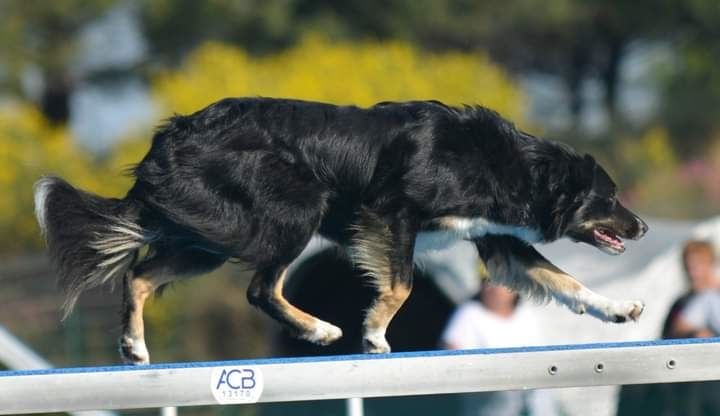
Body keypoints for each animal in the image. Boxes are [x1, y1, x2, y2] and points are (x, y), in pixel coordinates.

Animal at [35, 98, 648, 364]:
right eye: (609, 198)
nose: (641, 225)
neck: (508, 163)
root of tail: (170, 137)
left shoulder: (496, 239)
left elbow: (566, 281)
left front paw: (619, 309)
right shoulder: (389, 212)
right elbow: (400, 285)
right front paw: (373, 334)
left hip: (213, 236)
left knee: (139, 276)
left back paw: (135, 346)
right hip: (293, 213)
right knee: (259, 288)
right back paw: (321, 331)